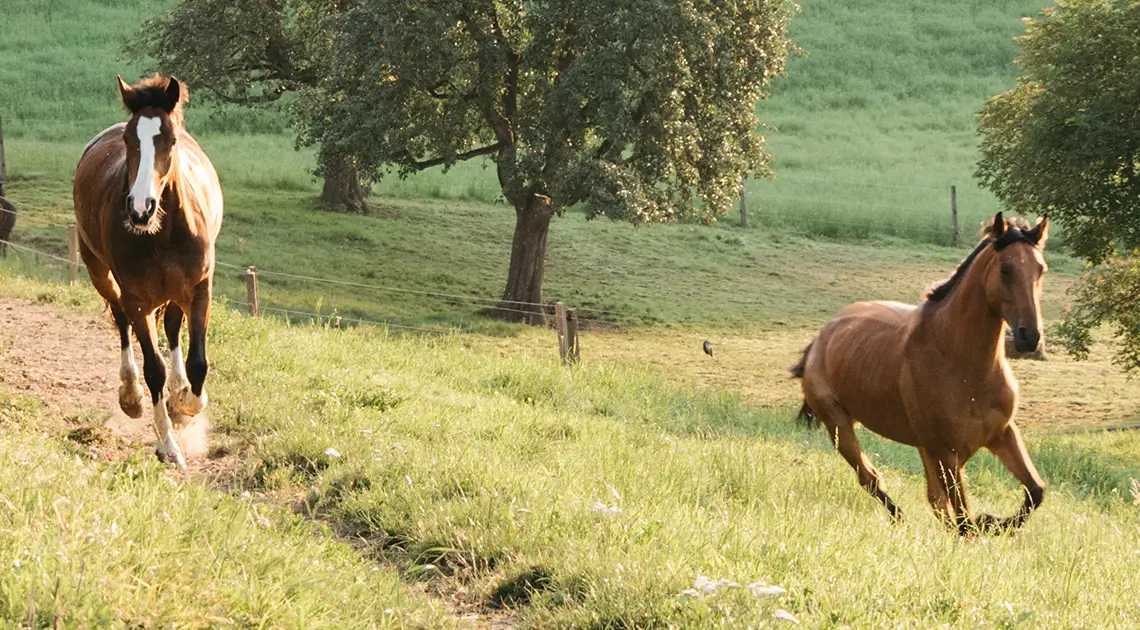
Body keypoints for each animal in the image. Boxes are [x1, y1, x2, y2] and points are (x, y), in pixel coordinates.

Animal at [73, 74, 223, 469]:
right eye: (129, 139)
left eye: (170, 140)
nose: (141, 208)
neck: (165, 233)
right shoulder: (137, 297)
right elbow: (153, 366)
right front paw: (168, 445)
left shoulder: (200, 289)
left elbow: (198, 362)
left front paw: (185, 403)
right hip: (102, 275)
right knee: (121, 321)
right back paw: (131, 394)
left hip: (176, 291)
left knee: (171, 327)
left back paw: (178, 391)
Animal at [791, 213, 1049, 535]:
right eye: (1005, 269)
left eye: (1041, 269)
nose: (1030, 337)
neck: (964, 366)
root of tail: (822, 337)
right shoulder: (947, 453)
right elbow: (964, 518)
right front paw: (986, 521)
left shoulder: (1002, 434)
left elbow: (1035, 490)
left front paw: (992, 521)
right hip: (838, 424)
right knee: (871, 478)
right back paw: (900, 520)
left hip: (922, 446)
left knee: (934, 499)